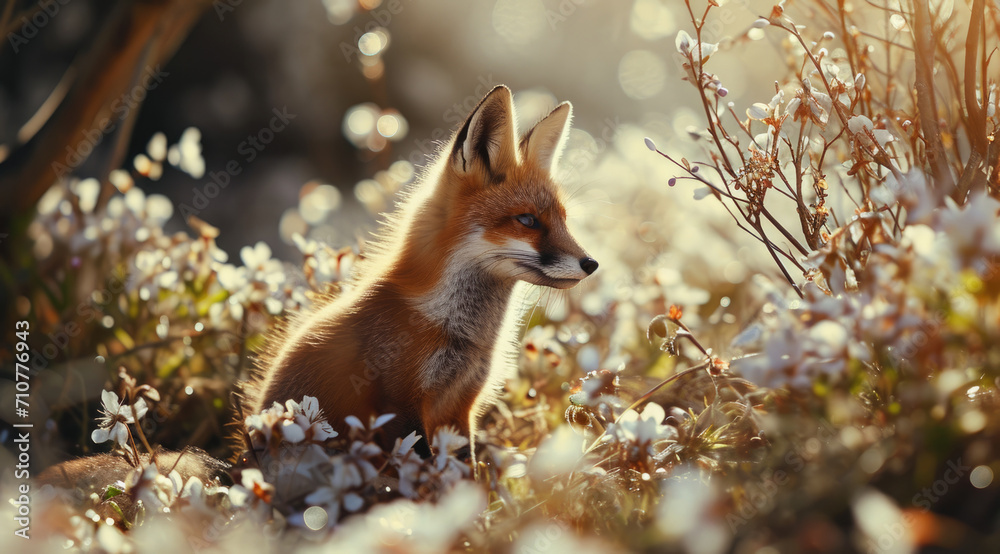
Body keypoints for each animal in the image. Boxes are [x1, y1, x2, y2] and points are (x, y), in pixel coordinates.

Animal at [247, 85, 598, 456]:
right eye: (528, 220)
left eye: (563, 220)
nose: (591, 264)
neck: (455, 330)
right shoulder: (398, 405)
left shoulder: (461, 407)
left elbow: (465, 467)